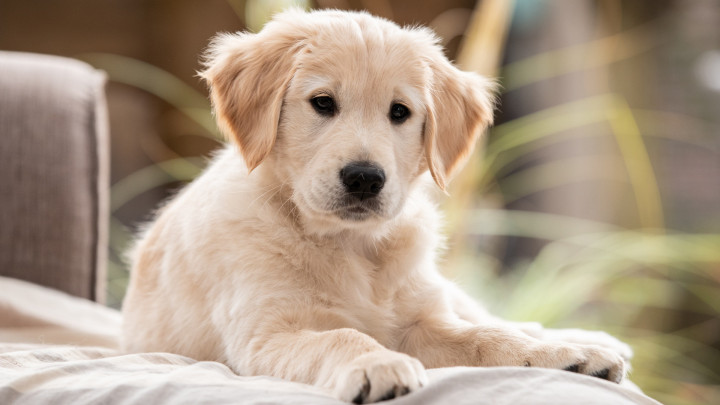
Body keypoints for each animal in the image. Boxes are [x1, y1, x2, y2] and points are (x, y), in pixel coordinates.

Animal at [122, 7, 632, 402]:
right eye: (322, 103)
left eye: (400, 112)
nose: (365, 178)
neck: (351, 244)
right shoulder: (267, 334)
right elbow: (344, 335)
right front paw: (376, 364)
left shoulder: (420, 322)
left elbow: (487, 336)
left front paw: (556, 358)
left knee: (493, 317)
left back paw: (586, 344)